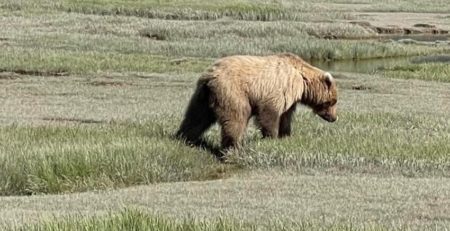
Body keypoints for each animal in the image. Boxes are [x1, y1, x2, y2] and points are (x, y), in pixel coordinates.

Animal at [176, 52, 338, 151]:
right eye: (333, 102)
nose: (334, 118)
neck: (302, 81)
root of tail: (210, 76)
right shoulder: (278, 89)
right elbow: (269, 113)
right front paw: (271, 137)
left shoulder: (290, 98)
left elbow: (286, 116)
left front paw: (286, 135)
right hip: (233, 92)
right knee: (236, 117)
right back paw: (234, 146)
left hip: (202, 96)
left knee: (196, 117)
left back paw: (184, 137)